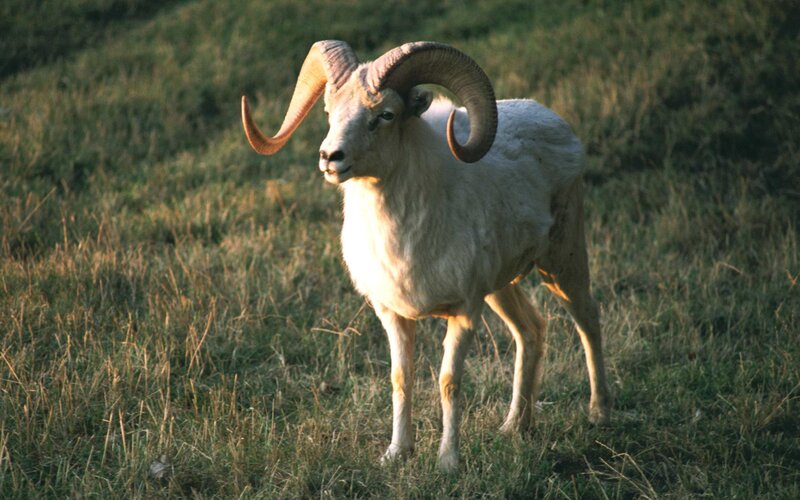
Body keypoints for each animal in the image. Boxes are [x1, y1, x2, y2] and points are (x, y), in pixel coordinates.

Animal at [241, 40, 611, 472]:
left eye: (385, 114)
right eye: (330, 111)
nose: (330, 157)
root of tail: (554, 121)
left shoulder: (464, 313)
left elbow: (448, 382)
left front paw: (447, 462)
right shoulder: (393, 315)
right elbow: (401, 379)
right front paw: (396, 454)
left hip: (562, 259)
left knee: (587, 318)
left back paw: (599, 413)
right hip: (501, 287)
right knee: (531, 330)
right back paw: (514, 427)